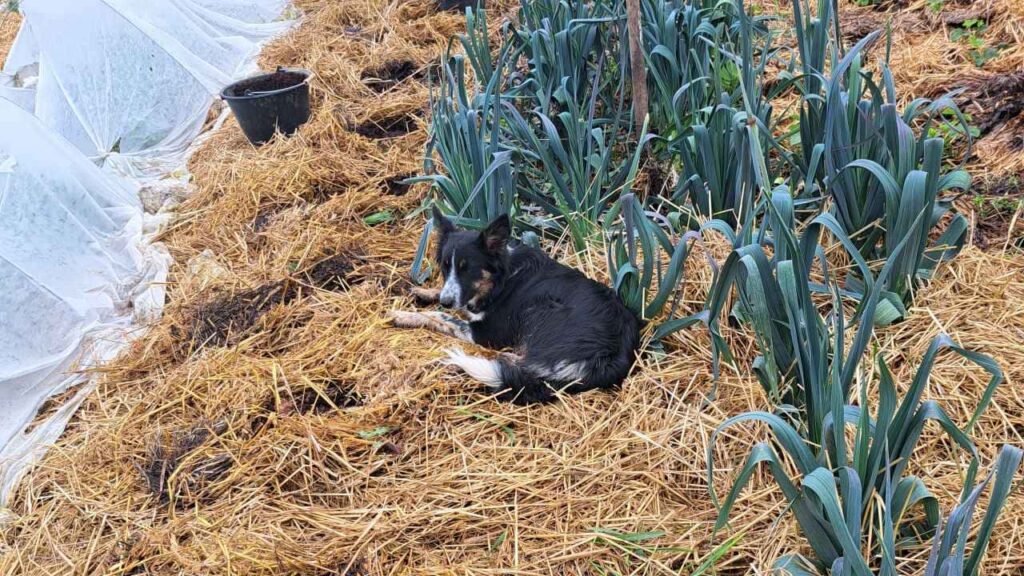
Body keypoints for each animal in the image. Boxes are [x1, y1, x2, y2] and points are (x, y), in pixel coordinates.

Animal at [387, 207, 634, 403]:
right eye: (446, 267)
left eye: (468, 269)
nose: (446, 302)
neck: (501, 279)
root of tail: (607, 360)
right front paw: (424, 292)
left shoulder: (486, 332)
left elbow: (441, 317)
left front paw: (403, 314)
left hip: (542, 308)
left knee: (523, 363)